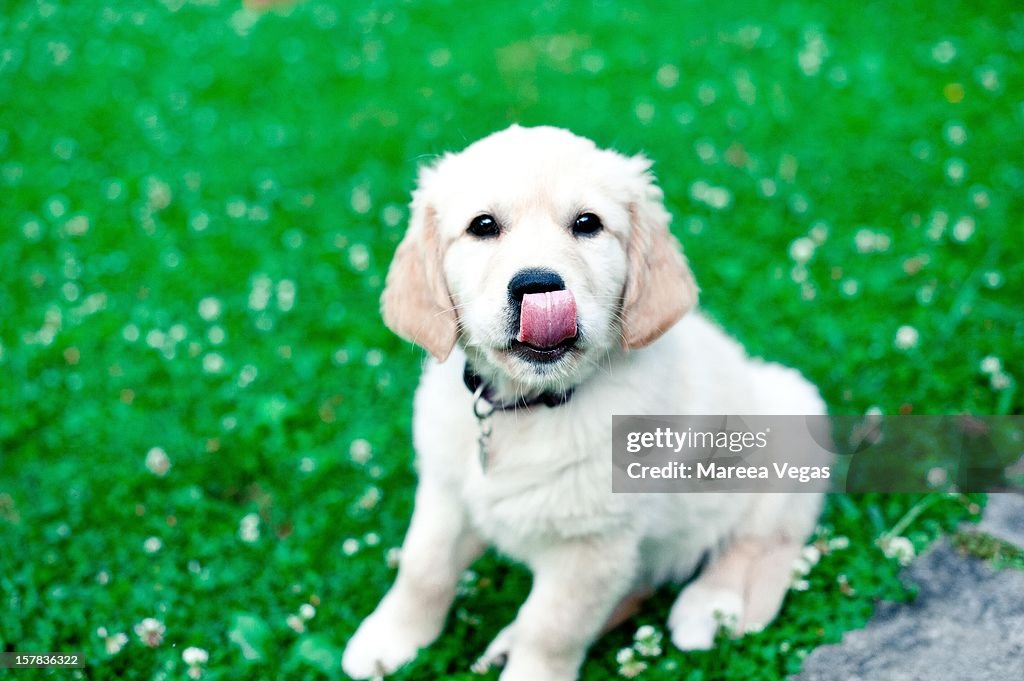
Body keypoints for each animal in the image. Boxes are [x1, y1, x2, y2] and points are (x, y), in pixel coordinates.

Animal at [342, 124, 823, 675]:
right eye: (483, 226)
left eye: (587, 224)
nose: (538, 285)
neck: (529, 407)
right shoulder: (447, 493)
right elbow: (422, 568)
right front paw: (386, 640)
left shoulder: (593, 547)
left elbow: (551, 628)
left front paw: (527, 667)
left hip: (792, 416)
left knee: (761, 542)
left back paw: (710, 606)